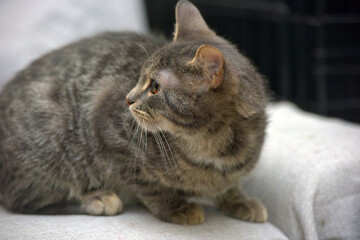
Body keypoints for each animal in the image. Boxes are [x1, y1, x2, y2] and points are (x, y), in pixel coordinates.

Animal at [0, 0, 268, 225]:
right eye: (139, 77)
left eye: (155, 87)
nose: (127, 98)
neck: (212, 150)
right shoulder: (108, 129)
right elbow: (148, 184)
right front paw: (175, 207)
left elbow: (228, 185)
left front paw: (240, 200)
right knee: (28, 199)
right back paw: (96, 198)